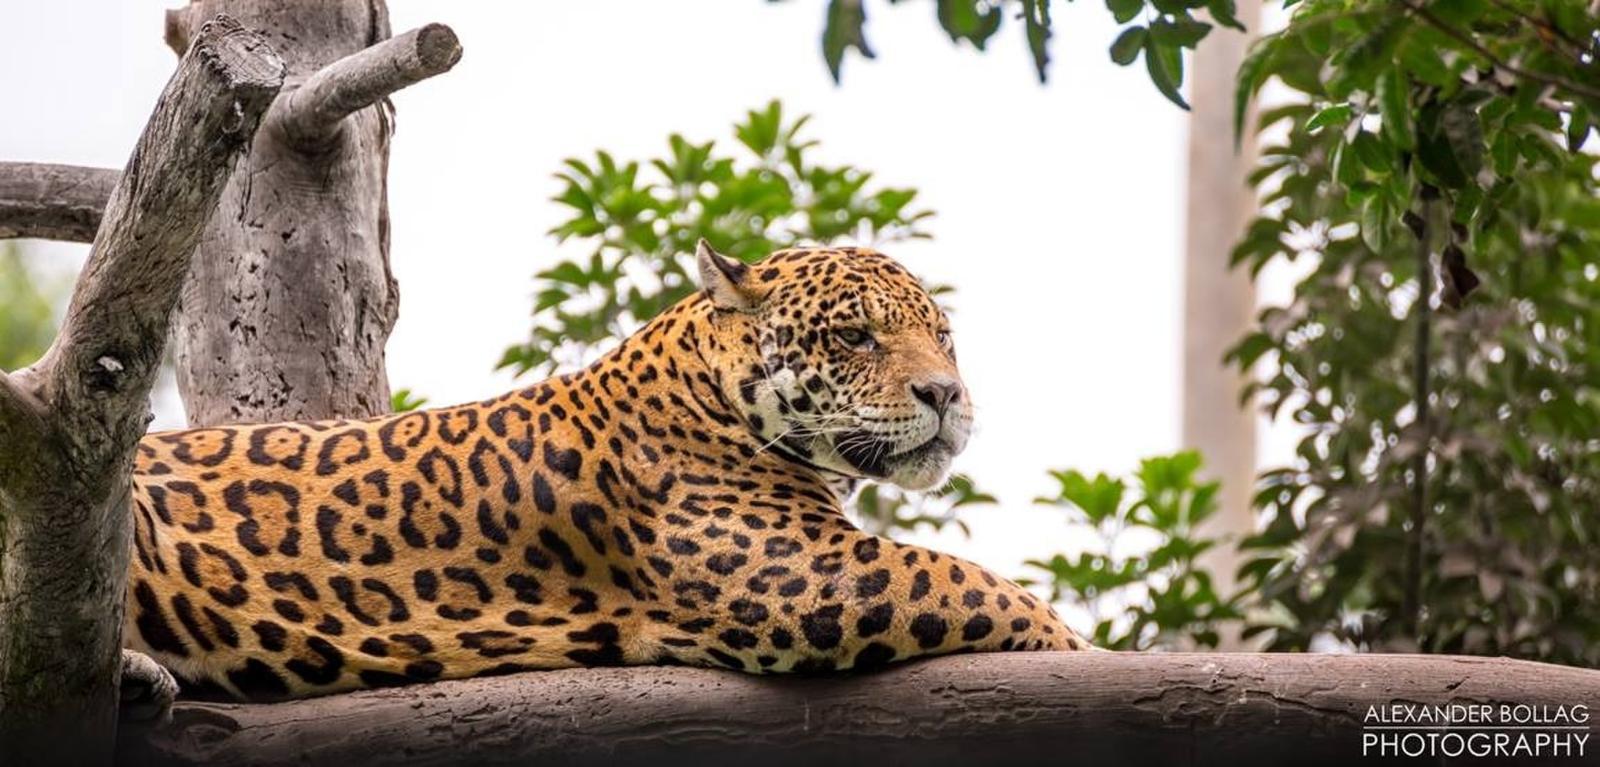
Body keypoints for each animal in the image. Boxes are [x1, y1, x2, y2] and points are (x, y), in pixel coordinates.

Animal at [122, 241, 1092, 705]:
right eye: (855, 335)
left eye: (943, 336)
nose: (947, 393)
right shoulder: (799, 571)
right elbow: (973, 581)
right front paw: (1084, 649)